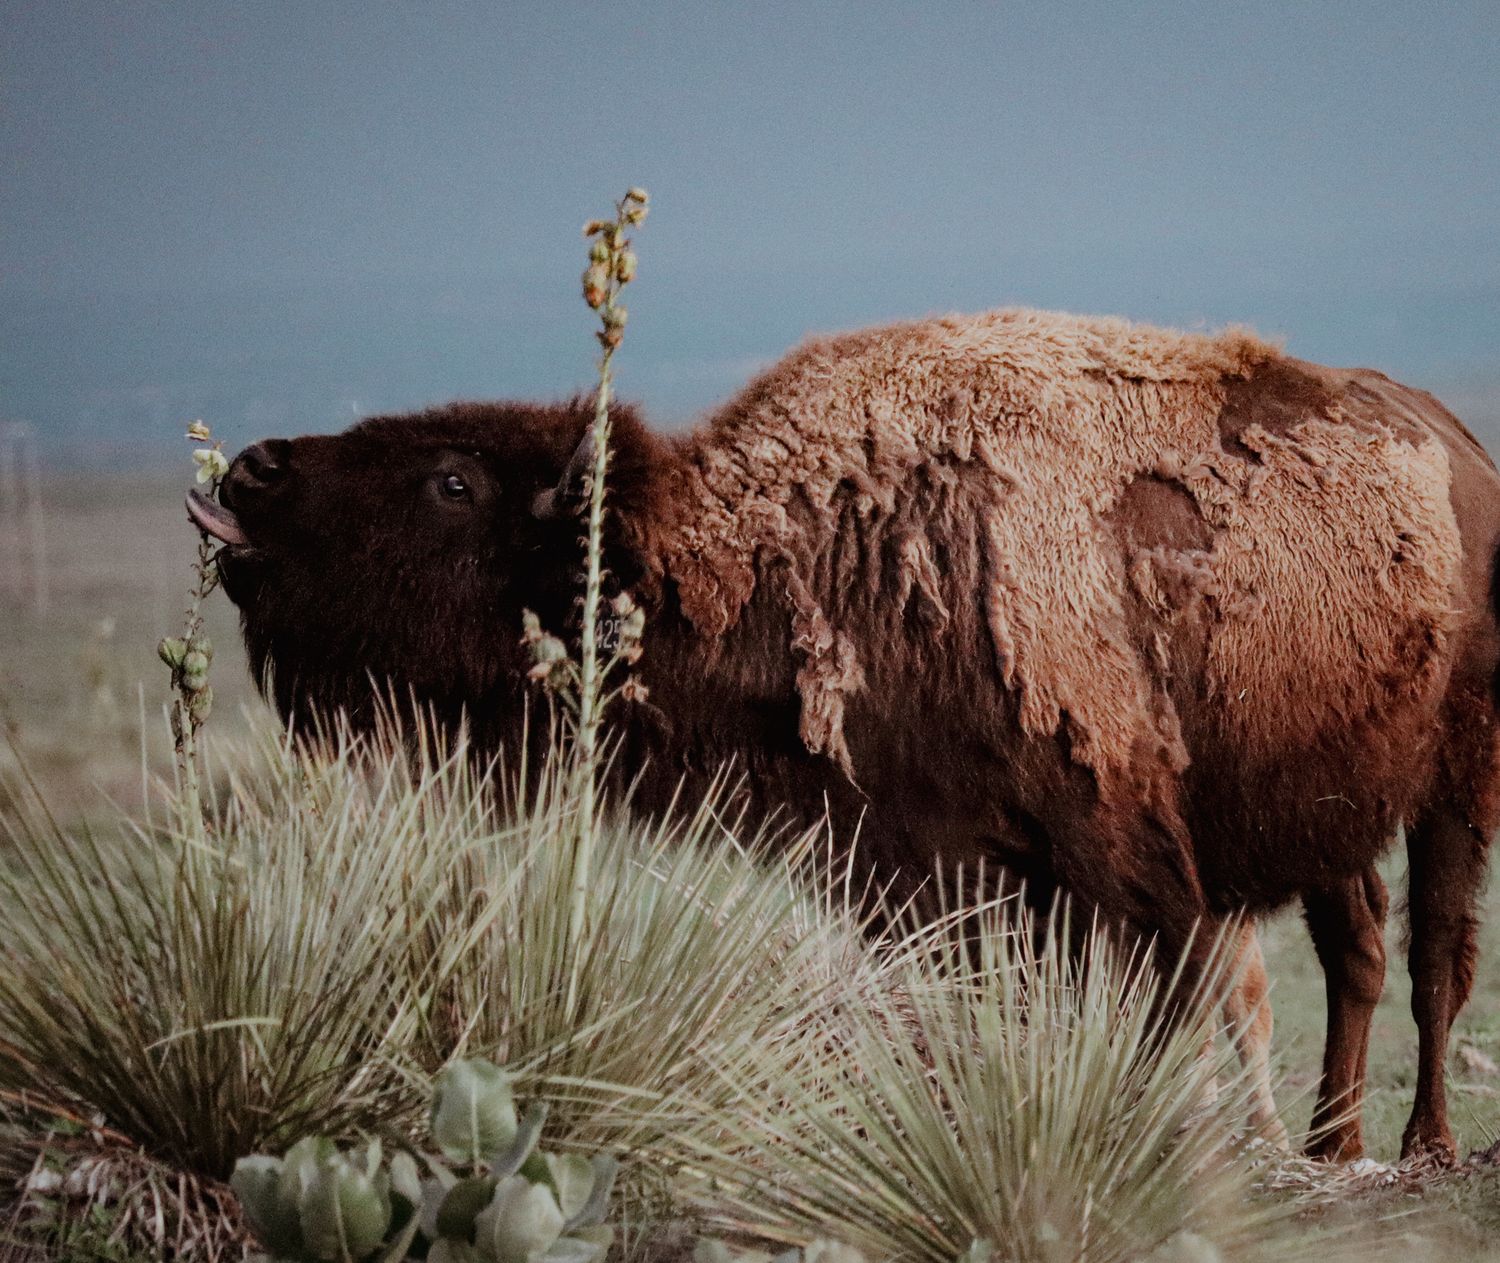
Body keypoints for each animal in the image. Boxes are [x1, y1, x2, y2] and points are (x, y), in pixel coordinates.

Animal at [189, 307, 1500, 1163]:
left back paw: (1424, 1147)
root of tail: (1458, 440)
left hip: (1458, 777)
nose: (251, 472)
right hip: (1332, 806)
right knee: (1357, 948)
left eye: (453, 483)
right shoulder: (938, 866)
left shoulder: (1117, 866)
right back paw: (1330, 1148)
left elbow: (1141, 1008)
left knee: (1434, 956)